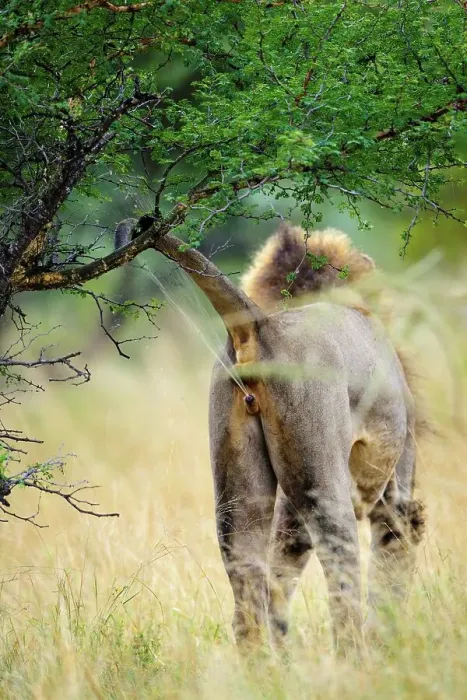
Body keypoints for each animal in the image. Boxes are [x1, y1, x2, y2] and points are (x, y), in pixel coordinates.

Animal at [130, 218, 426, 652]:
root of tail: (261, 325)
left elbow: (280, 576)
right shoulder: (398, 480)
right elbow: (392, 563)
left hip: (238, 488)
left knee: (248, 602)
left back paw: (266, 664)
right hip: (323, 480)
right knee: (342, 595)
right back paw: (353, 660)